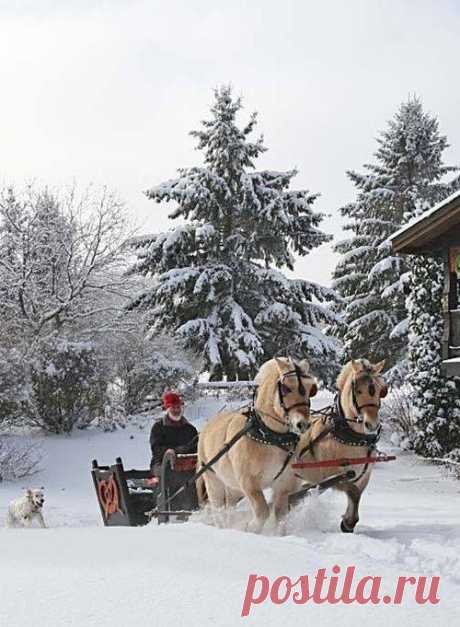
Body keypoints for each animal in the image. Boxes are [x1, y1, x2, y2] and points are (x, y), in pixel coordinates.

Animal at [198, 360, 320, 532]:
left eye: (311, 389)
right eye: (286, 388)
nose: (303, 424)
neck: (270, 437)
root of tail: (208, 425)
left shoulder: (284, 484)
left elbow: (280, 515)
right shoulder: (249, 482)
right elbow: (262, 511)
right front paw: (249, 527)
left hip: (233, 487)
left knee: (230, 506)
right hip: (213, 480)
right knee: (218, 509)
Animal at [292, 360, 386, 532]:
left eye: (380, 390)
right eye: (358, 391)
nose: (372, 424)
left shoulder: (364, 476)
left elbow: (356, 495)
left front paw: (348, 523)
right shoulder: (335, 476)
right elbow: (352, 491)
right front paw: (348, 522)